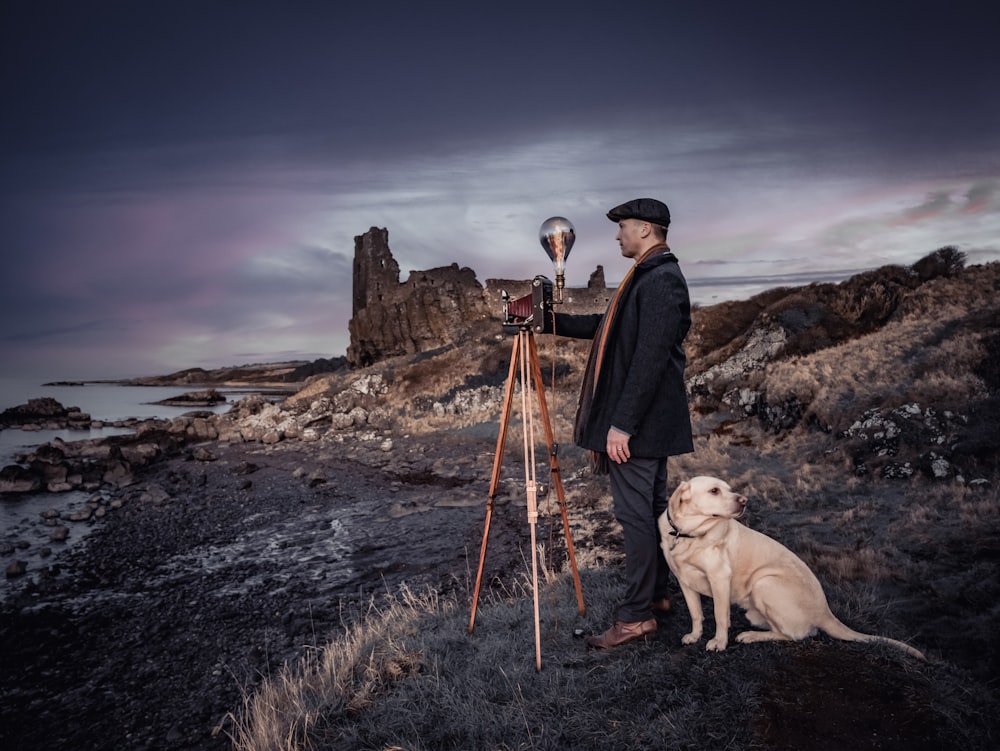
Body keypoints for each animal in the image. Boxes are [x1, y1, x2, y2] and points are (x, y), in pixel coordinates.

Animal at [660, 478, 924, 660]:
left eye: (728, 489)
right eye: (714, 490)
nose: (744, 500)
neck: (687, 534)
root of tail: (825, 611)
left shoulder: (719, 579)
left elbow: (719, 615)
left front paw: (719, 642)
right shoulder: (684, 581)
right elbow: (696, 613)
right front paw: (695, 636)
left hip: (764, 582)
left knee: (792, 635)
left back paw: (751, 635)